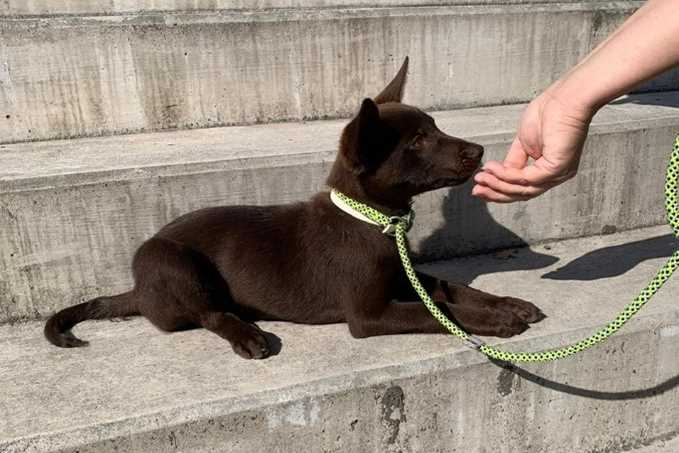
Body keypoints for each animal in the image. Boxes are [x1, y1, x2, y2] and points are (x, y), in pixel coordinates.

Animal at [45, 58, 544, 358]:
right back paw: (248, 334)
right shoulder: (369, 314)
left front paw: (509, 303)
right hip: (171, 261)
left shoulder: (406, 276)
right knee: (209, 313)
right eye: (419, 141)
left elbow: (453, 289)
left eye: (435, 128)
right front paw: (496, 320)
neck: (374, 221)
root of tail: (138, 290)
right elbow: (439, 310)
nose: (479, 151)